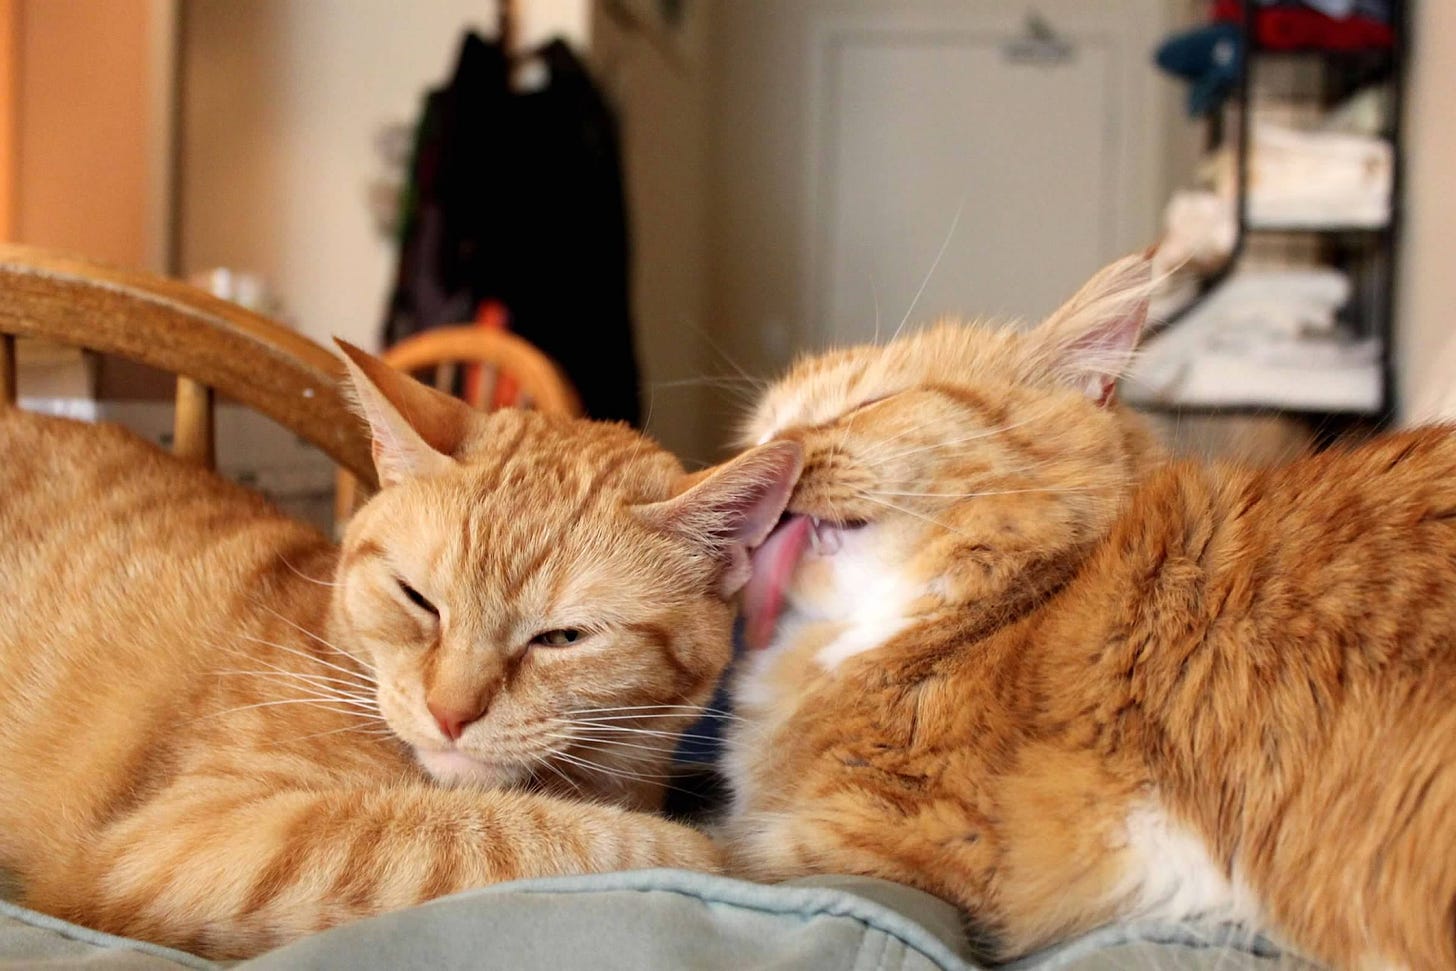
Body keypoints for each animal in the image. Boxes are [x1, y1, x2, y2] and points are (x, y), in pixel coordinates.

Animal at [0, 340, 797, 954]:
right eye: (419, 600)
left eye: (562, 637)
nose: (450, 713)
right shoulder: (176, 841)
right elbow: (522, 834)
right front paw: (715, 852)